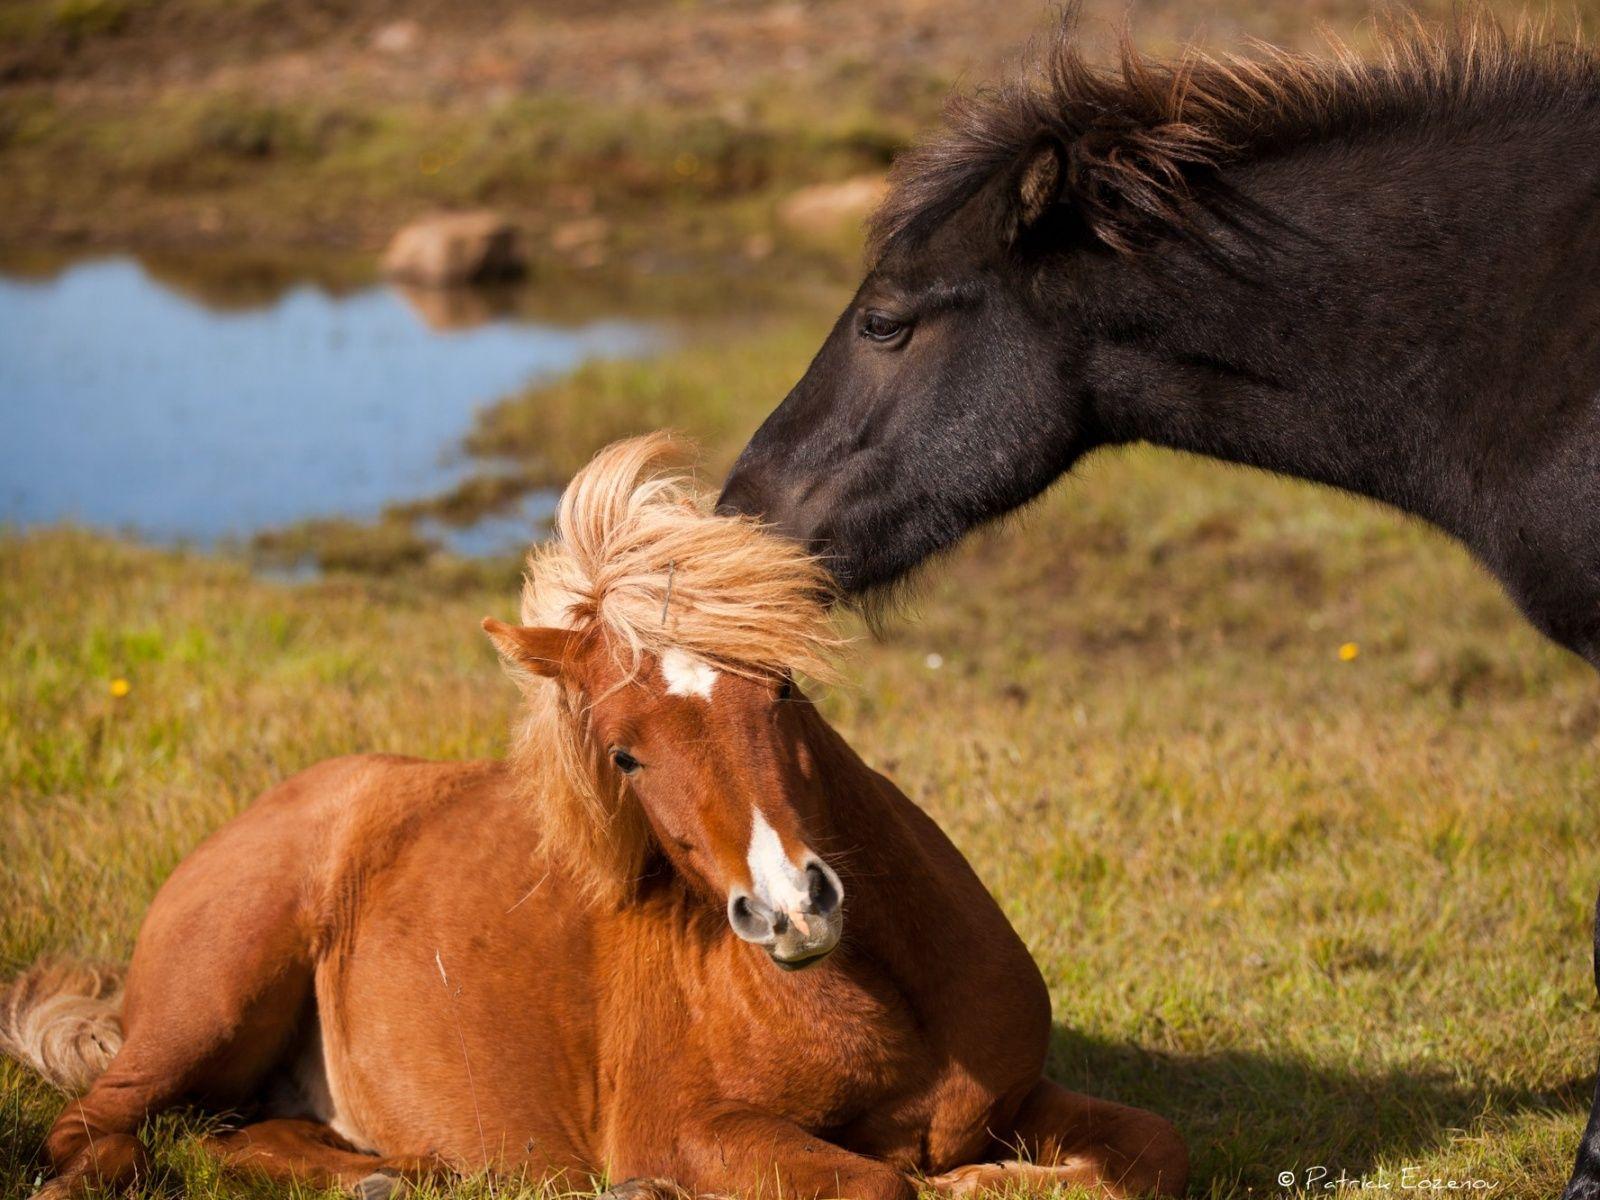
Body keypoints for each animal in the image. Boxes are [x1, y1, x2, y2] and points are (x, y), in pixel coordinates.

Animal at [1, 435, 1188, 1200]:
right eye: (625, 752)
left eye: (784, 691)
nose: (794, 909)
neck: (887, 990)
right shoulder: (692, 1128)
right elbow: (881, 1188)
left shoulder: (1026, 1093)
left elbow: (1147, 1154)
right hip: (214, 995)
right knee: (102, 1125)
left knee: (237, 1131)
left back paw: (390, 1175)